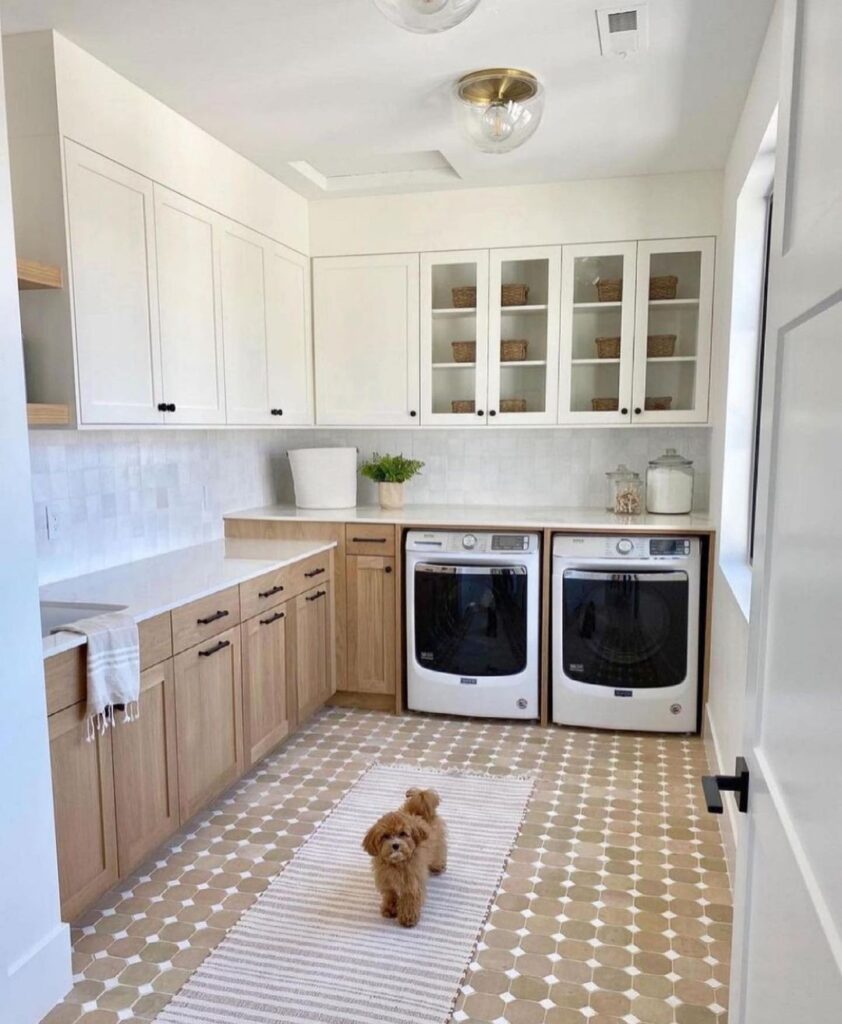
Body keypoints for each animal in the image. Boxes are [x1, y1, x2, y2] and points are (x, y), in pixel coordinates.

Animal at [364, 786, 448, 925]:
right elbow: (390, 896)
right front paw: (389, 910)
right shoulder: (387, 882)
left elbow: (409, 900)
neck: (397, 864)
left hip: (437, 845)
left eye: (403, 834)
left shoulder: (412, 883)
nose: (395, 845)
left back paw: (437, 867)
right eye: (385, 836)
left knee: (439, 853)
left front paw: (408, 918)